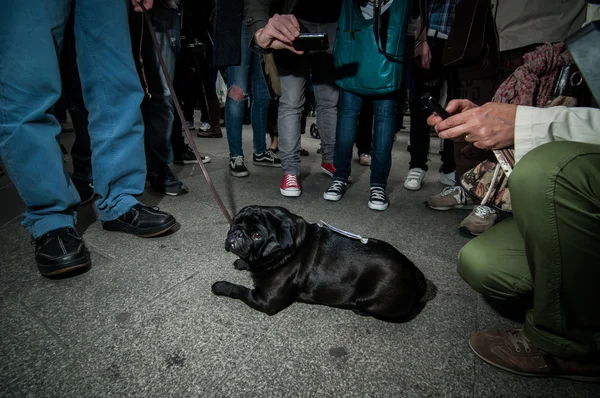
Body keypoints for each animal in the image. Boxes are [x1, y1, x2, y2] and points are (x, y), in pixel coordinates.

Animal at [211, 205, 426, 320]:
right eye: (235, 222)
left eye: (256, 235)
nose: (236, 233)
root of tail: (414, 271)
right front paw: (242, 263)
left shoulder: (265, 300)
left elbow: (239, 290)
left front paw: (221, 286)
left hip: (374, 299)